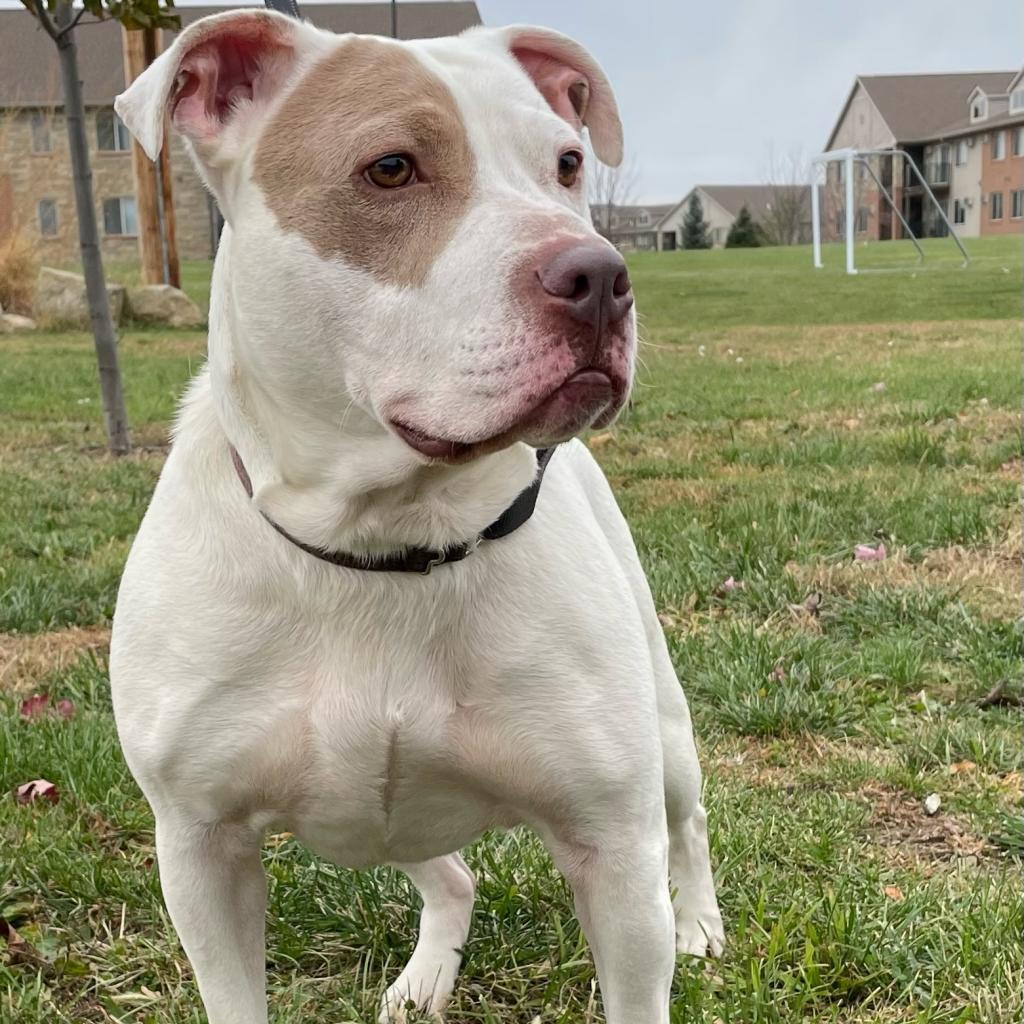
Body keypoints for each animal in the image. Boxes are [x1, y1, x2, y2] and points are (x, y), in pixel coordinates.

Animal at [110, 9, 720, 1024]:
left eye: (566, 163)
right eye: (390, 168)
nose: (600, 274)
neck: (381, 538)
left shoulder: (611, 850)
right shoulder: (200, 852)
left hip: (663, 736)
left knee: (689, 818)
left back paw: (703, 920)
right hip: (376, 814)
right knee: (451, 876)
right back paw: (425, 976)